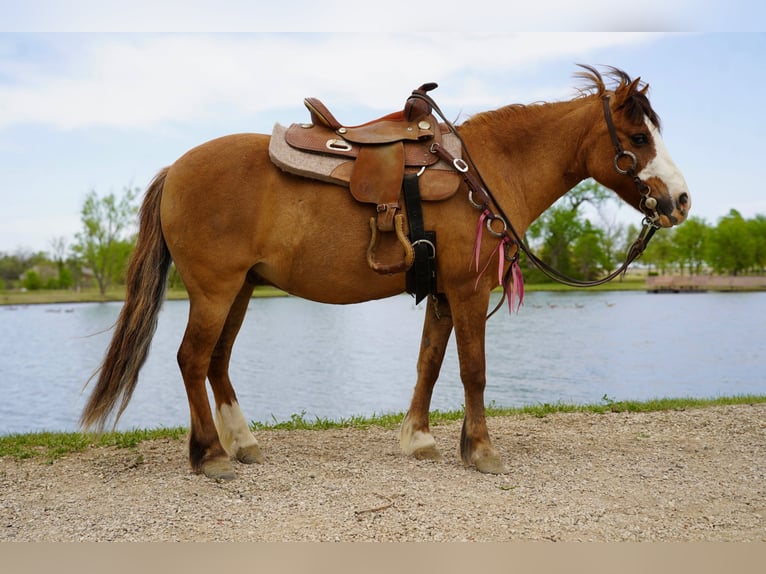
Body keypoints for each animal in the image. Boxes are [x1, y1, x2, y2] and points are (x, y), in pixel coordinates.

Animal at [81, 65, 691, 480]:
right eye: (639, 139)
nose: (681, 201)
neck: (483, 173)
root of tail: (175, 168)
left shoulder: (443, 293)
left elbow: (429, 365)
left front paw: (419, 440)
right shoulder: (469, 291)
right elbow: (473, 371)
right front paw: (482, 451)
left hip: (240, 289)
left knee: (217, 361)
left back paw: (241, 444)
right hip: (214, 289)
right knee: (192, 359)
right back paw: (209, 456)